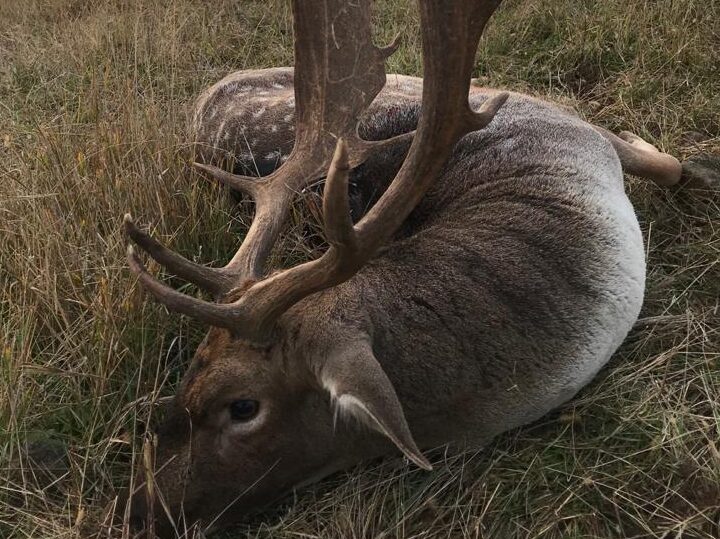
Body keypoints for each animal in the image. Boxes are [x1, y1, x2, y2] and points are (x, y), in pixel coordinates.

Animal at [119, 0, 716, 536]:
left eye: (242, 406)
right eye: (192, 365)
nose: (142, 512)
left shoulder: (567, 124)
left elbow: (671, 164)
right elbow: (670, 163)